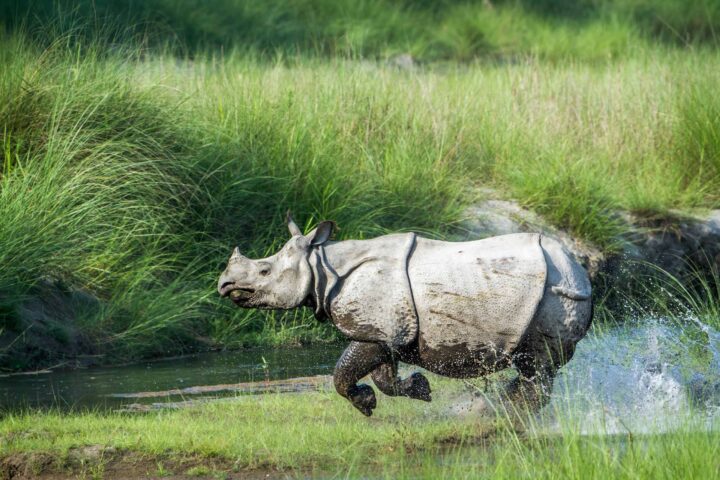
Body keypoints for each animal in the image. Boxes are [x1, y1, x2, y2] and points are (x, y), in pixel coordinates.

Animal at [218, 216, 592, 416]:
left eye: (264, 271)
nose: (224, 285)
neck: (321, 265)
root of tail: (578, 267)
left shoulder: (378, 329)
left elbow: (342, 372)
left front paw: (367, 404)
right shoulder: (385, 330)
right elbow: (384, 377)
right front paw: (418, 390)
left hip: (554, 294)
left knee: (537, 362)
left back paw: (503, 415)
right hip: (547, 291)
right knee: (533, 367)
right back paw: (497, 408)